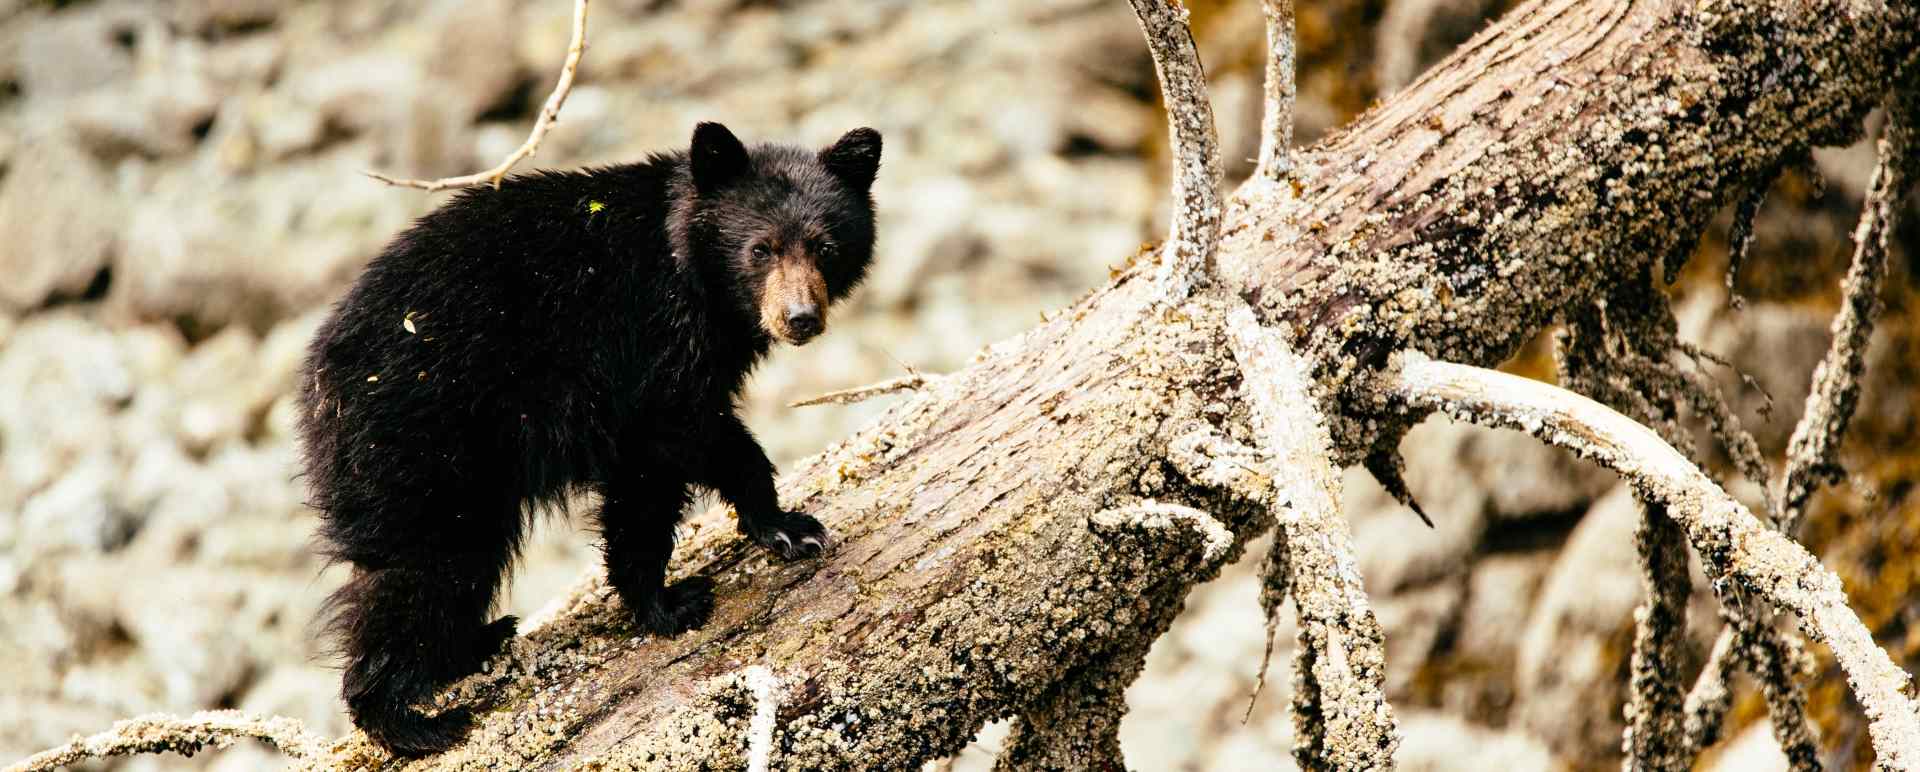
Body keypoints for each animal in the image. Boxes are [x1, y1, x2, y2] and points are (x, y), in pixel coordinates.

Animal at [297, 122, 881, 757]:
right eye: (761, 249)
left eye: (825, 247)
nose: (800, 318)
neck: (689, 272)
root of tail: (319, 389)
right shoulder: (648, 347)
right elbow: (681, 451)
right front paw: (692, 590)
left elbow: (642, 481)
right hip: (424, 445)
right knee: (427, 569)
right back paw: (409, 720)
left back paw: (477, 641)